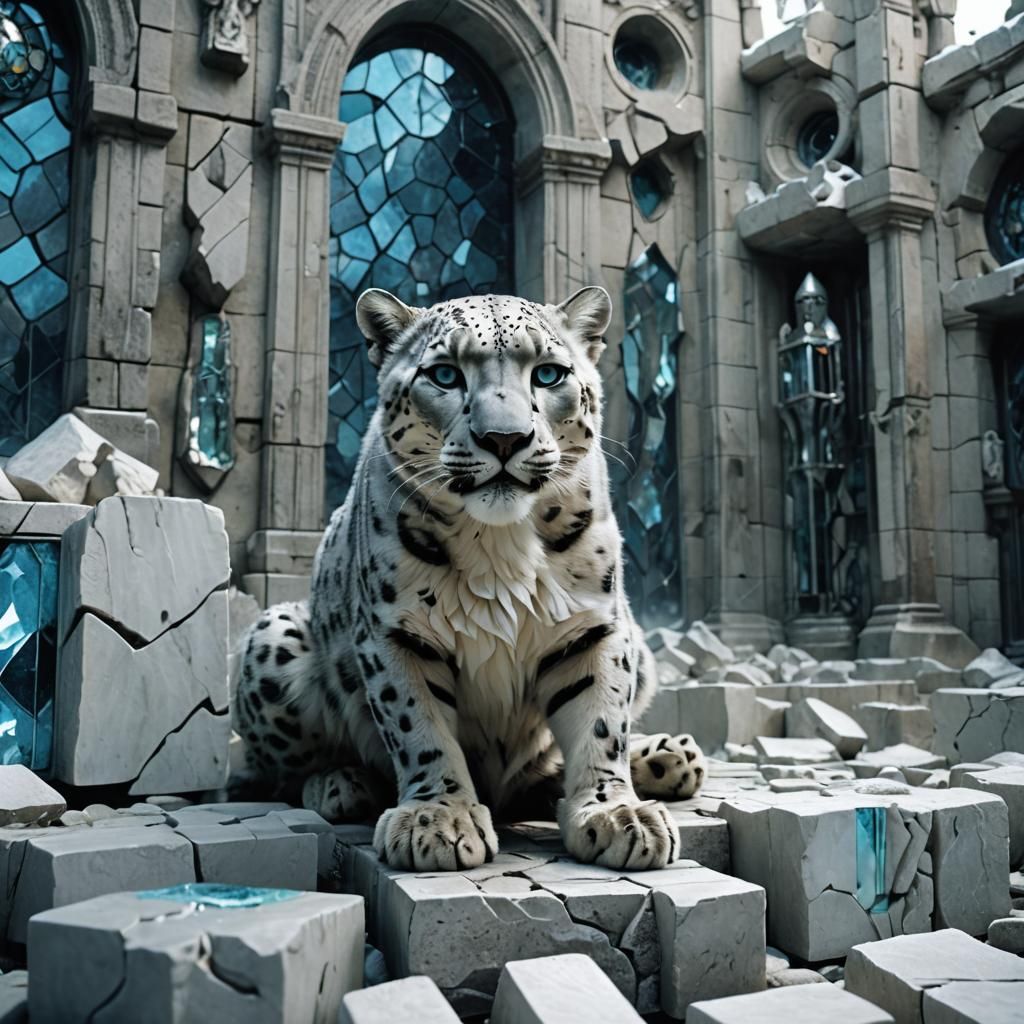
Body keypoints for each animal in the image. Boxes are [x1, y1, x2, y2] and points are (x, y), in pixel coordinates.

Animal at [235, 285, 706, 872]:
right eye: (444, 374)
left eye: (548, 374)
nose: (504, 438)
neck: (499, 545)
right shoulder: (397, 632)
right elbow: (418, 725)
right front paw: (438, 819)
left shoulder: (594, 627)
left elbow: (602, 721)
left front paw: (614, 812)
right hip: (273, 638)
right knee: (277, 771)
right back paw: (339, 784)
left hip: (642, 649)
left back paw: (667, 757)